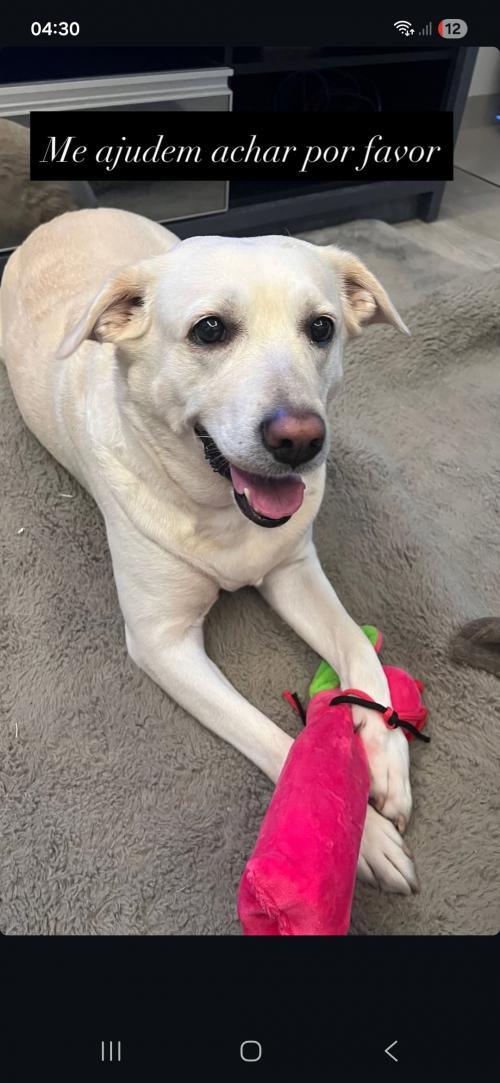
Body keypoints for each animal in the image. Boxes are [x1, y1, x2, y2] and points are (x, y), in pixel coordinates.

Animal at [0, 207, 418, 895]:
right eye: (210, 330)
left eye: (322, 327)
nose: (301, 440)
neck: (220, 509)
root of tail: (71, 212)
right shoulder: (163, 643)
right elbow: (270, 737)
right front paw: (359, 837)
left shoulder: (294, 570)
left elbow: (360, 650)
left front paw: (385, 755)